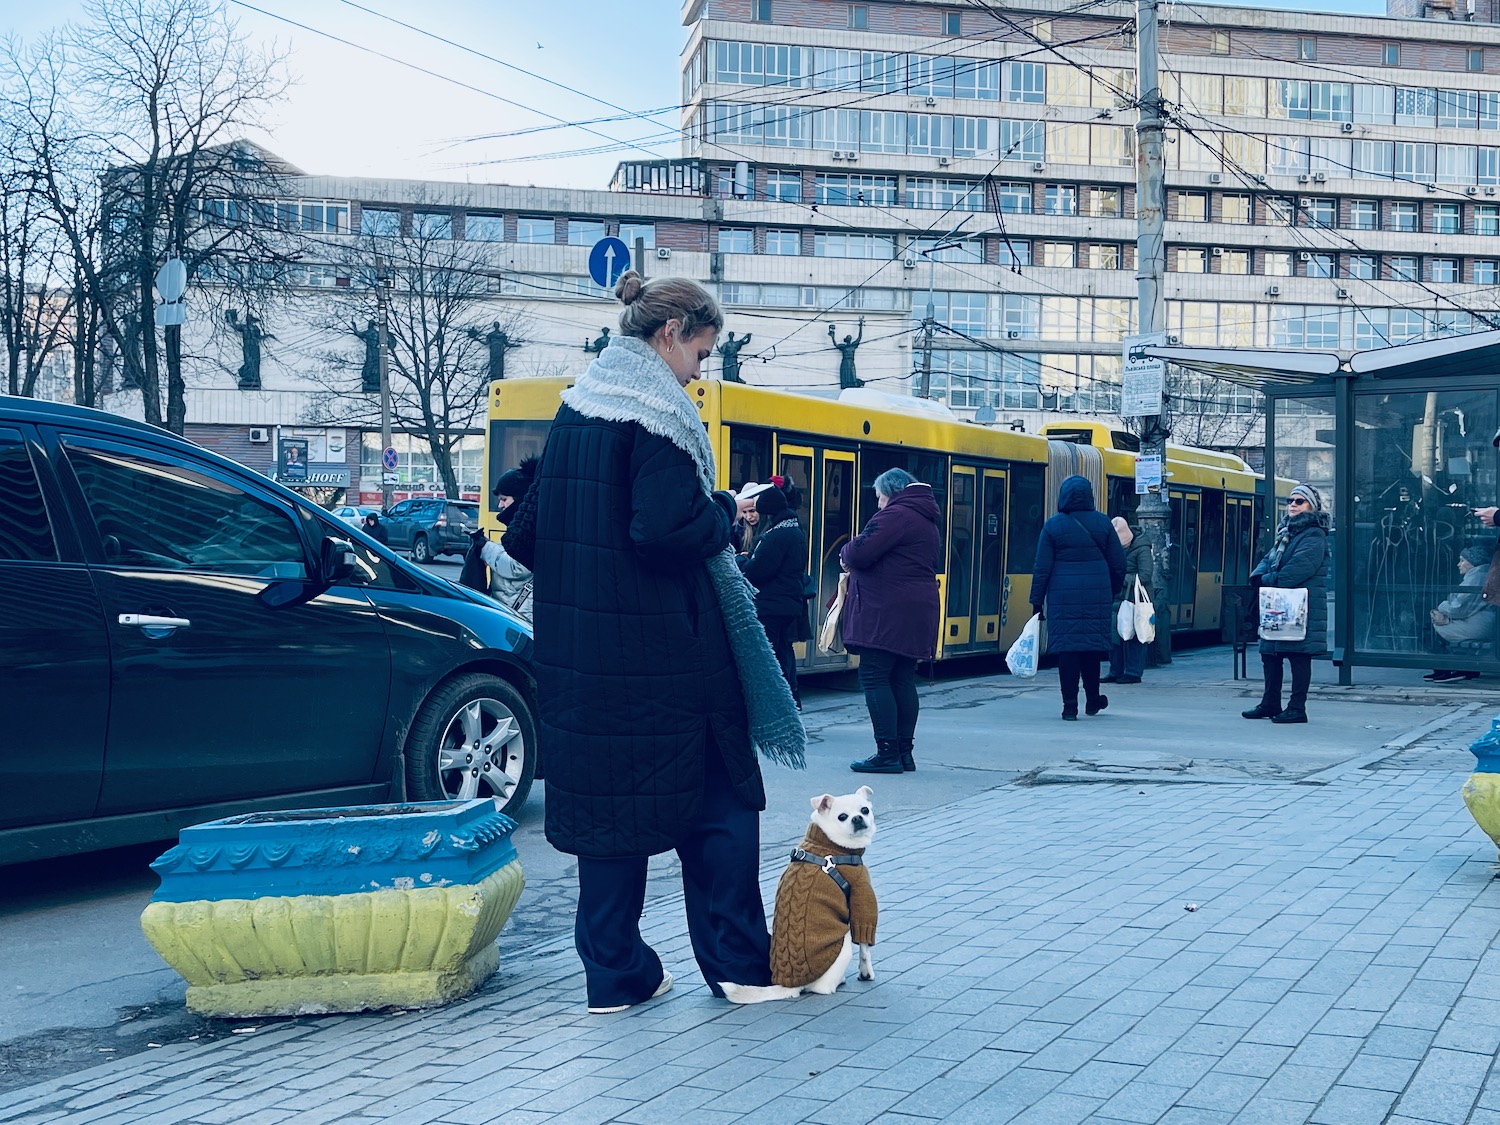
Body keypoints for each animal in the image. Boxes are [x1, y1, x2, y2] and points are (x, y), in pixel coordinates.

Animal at [717, 786, 876, 1008]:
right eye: (842, 816)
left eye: (865, 810)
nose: (858, 818)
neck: (829, 846)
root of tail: (789, 985)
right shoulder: (862, 892)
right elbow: (864, 947)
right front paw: (866, 973)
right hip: (843, 945)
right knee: (822, 988)